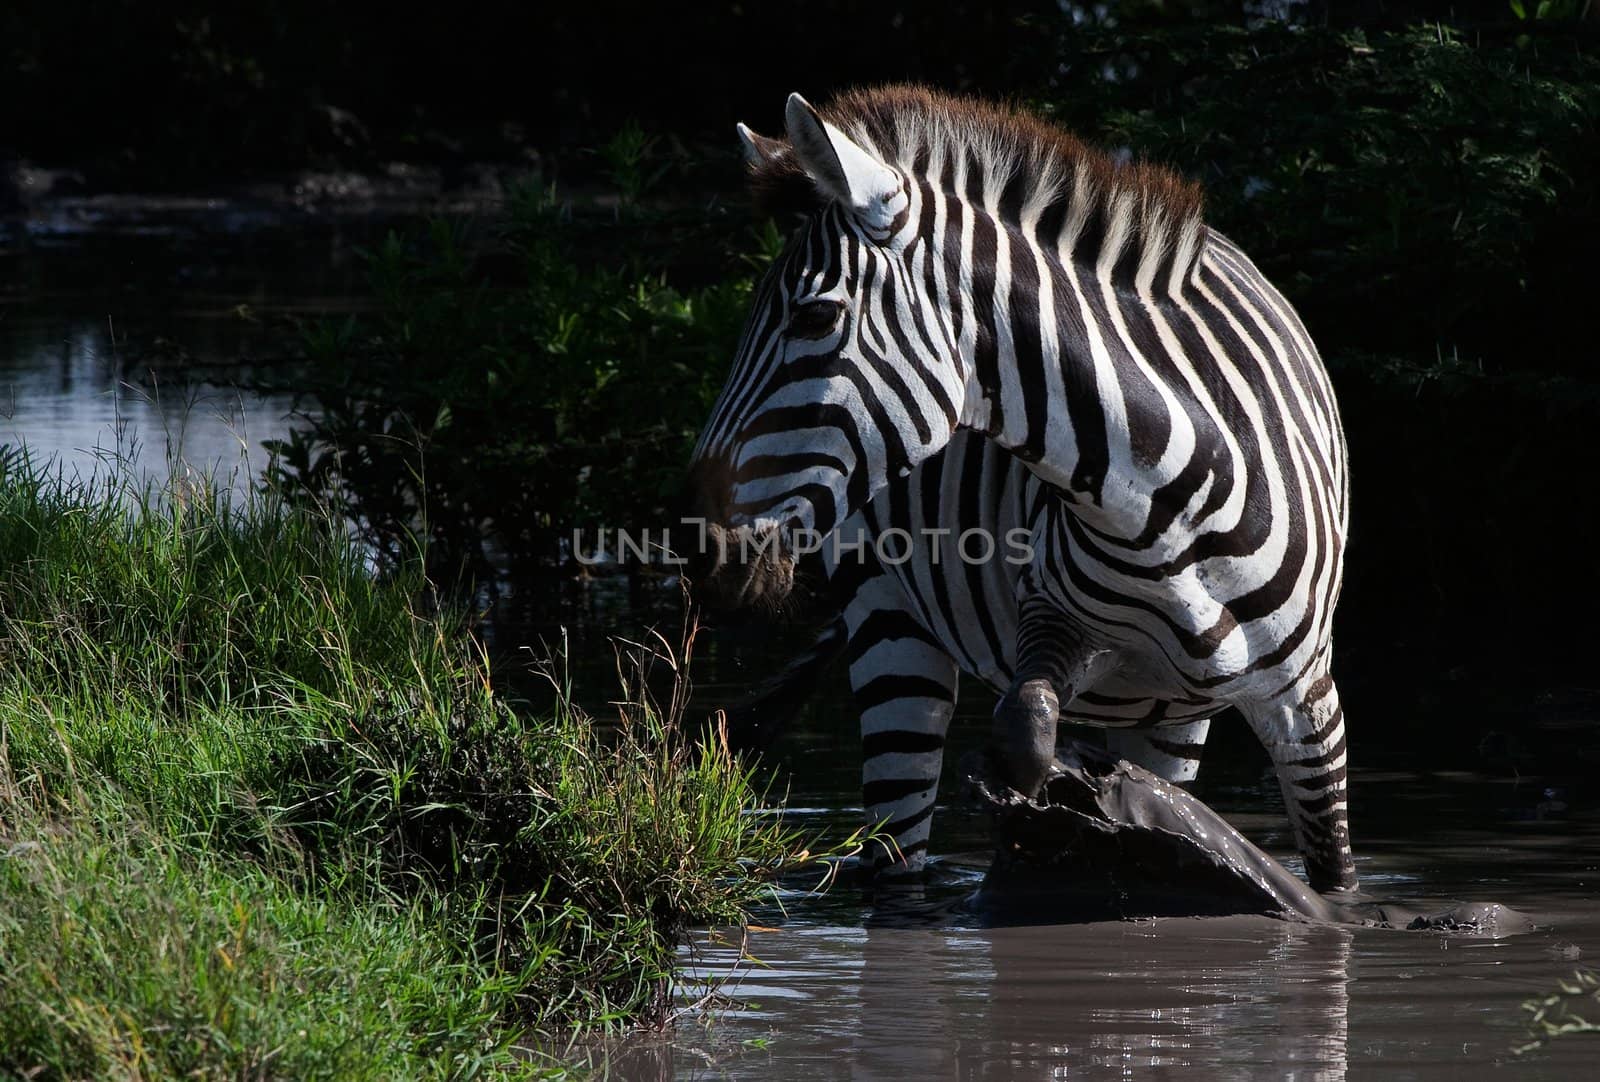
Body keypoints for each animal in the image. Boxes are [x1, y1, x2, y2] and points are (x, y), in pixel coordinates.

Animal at [681, 84, 1356, 889]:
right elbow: (1024, 729)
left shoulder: (1311, 707)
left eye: (816, 316)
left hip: (1173, 713)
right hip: (888, 617)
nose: (699, 551)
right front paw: (1039, 836)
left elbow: (1335, 877)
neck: (1168, 514)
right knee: (896, 857)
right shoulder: (1050, 619)